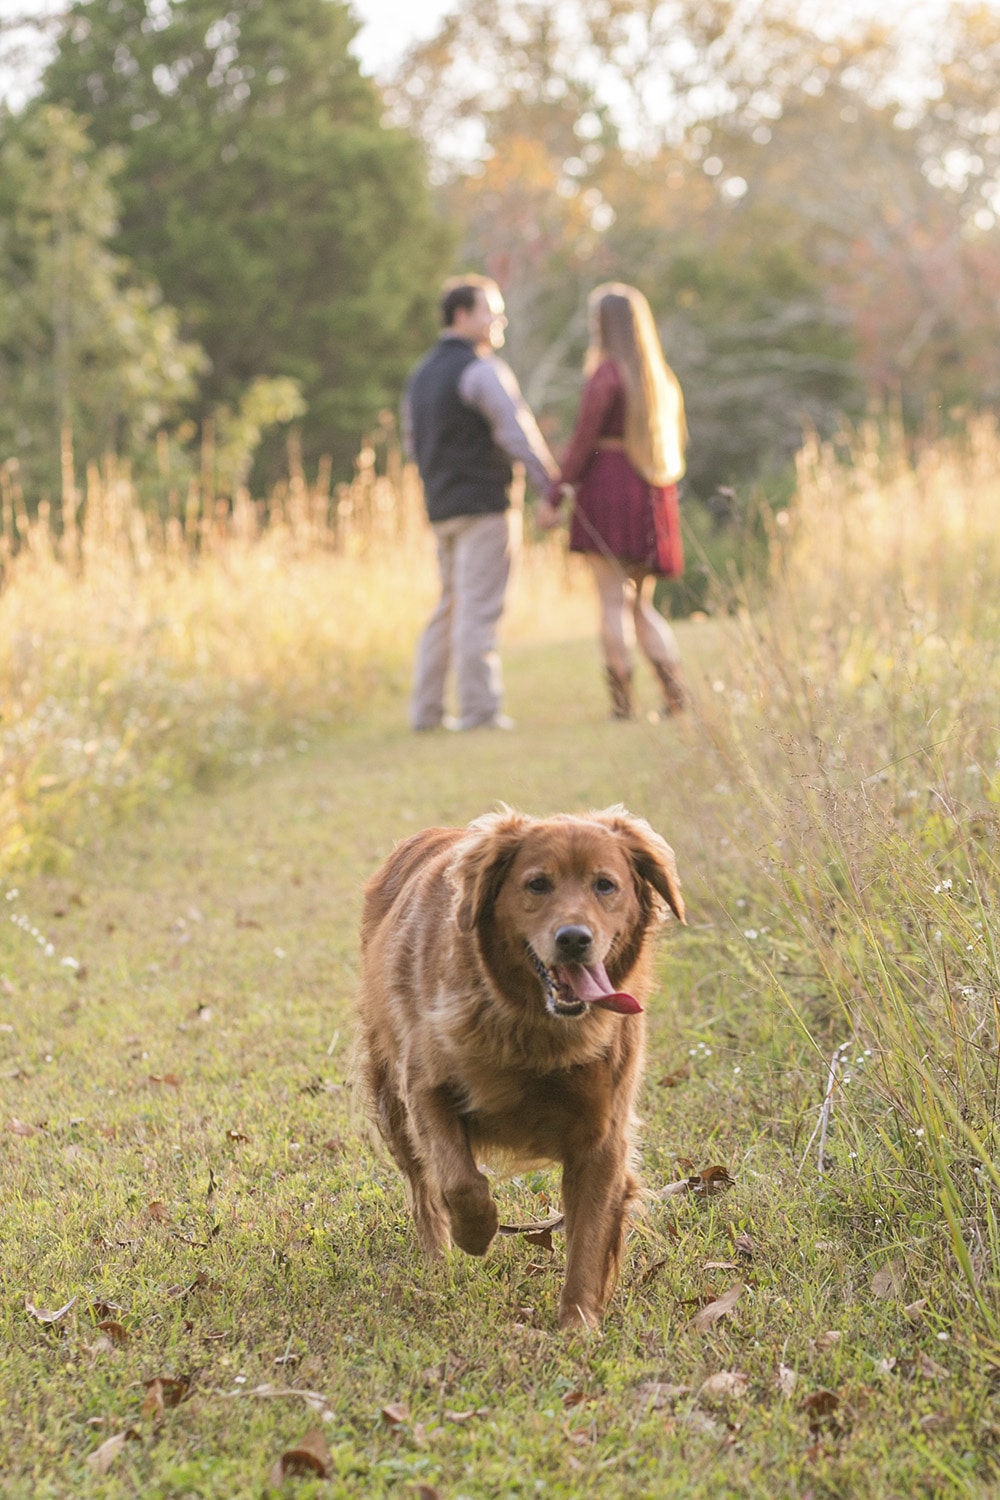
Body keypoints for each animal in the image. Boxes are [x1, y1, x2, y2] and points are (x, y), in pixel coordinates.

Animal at [353, 804, 689, 1332]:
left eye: (605, 885)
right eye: (537, 884)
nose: (574, 940)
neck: (534, 1028)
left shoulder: (602, 1139)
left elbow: (588, 1239)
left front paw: (577, 1326)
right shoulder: (424, 1086)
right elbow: (461, 1181)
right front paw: (476, 1232)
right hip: (392, 1100)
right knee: (423, 1190)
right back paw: (438, 1263)